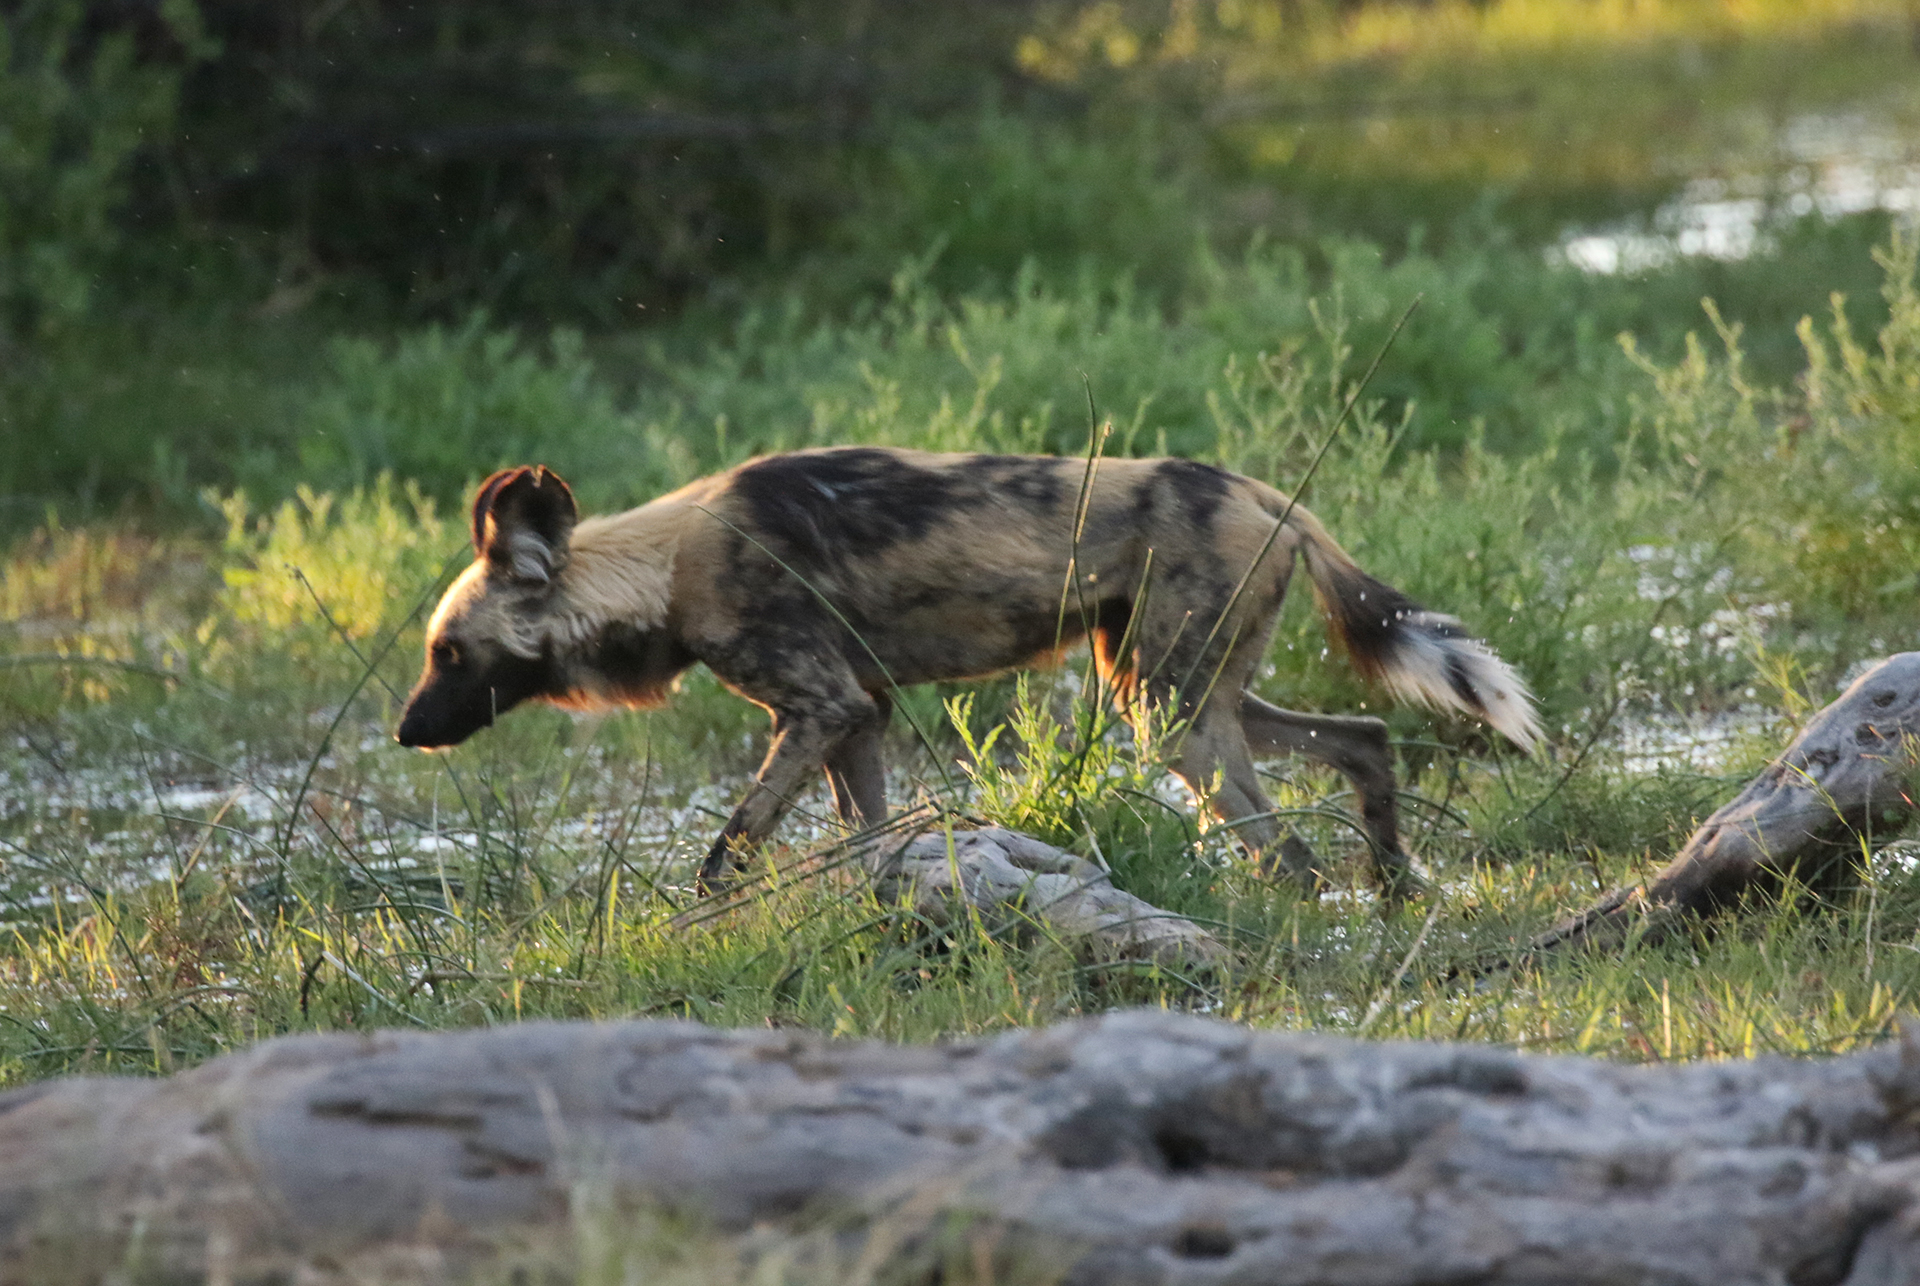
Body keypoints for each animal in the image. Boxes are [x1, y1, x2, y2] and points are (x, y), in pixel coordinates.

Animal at [397, 451, 1536, 898]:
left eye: (449, 651)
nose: (407, 731)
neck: (668, 563)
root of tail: (1266, 492)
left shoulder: (817, 708)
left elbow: (728, 846)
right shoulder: (856, 719)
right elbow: (862, 837)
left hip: (1169, 716)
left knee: (1287, 851)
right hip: (1180, 691)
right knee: (1363, 741)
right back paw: (1393, 889)